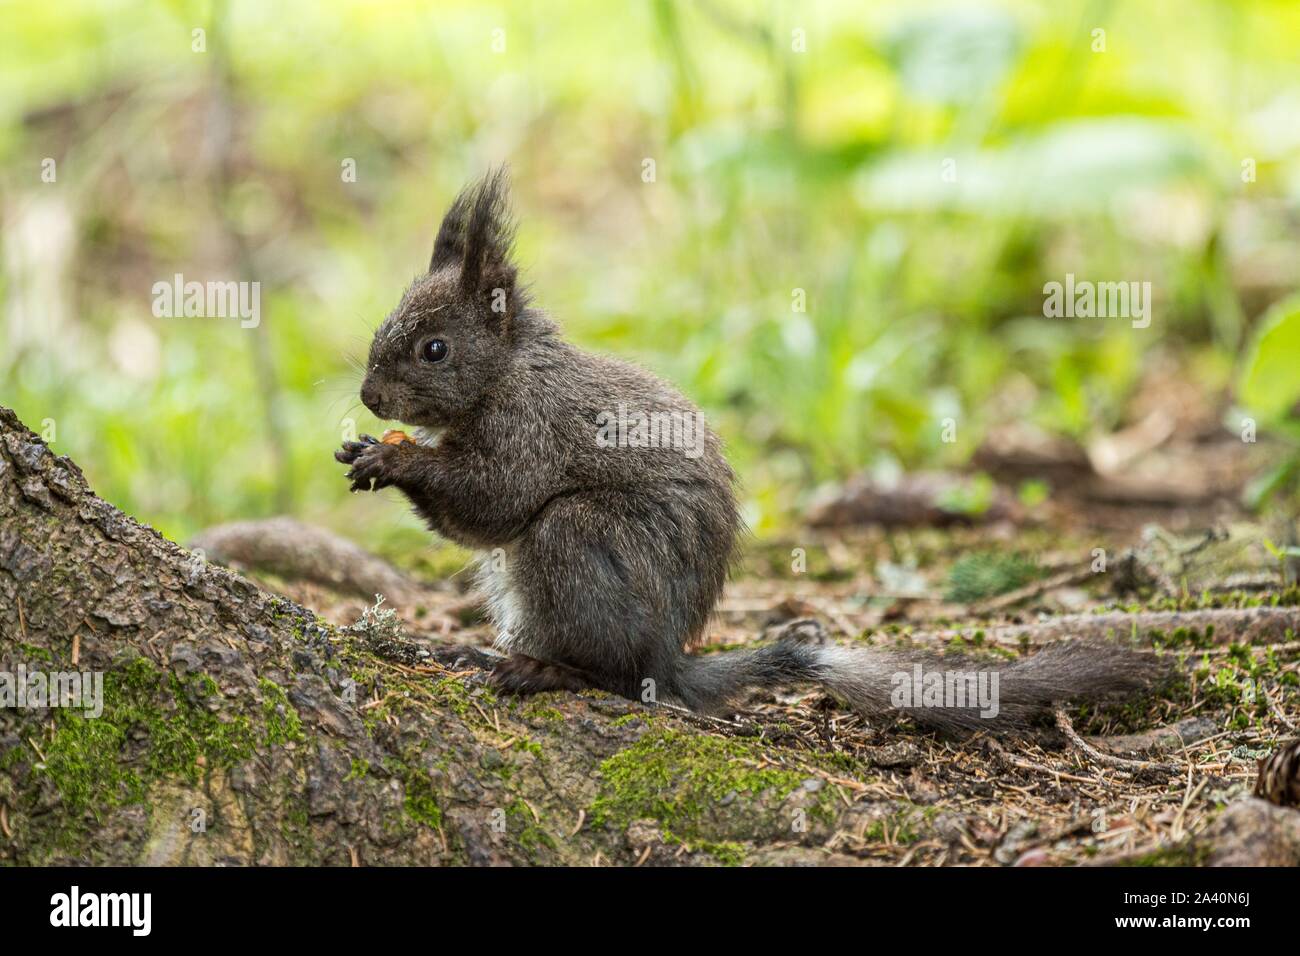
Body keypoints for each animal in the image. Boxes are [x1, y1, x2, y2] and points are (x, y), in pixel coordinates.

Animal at [336, 169, 1165, 734]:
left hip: (582, 544)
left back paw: (547, 672)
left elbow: (496, 501)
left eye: (435, 349)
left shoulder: (528, 430)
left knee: (610, 671)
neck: (508, 370)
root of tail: (668, 658)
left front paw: (395, 460)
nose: (371, 398)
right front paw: (368, 448)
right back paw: (479, 655)